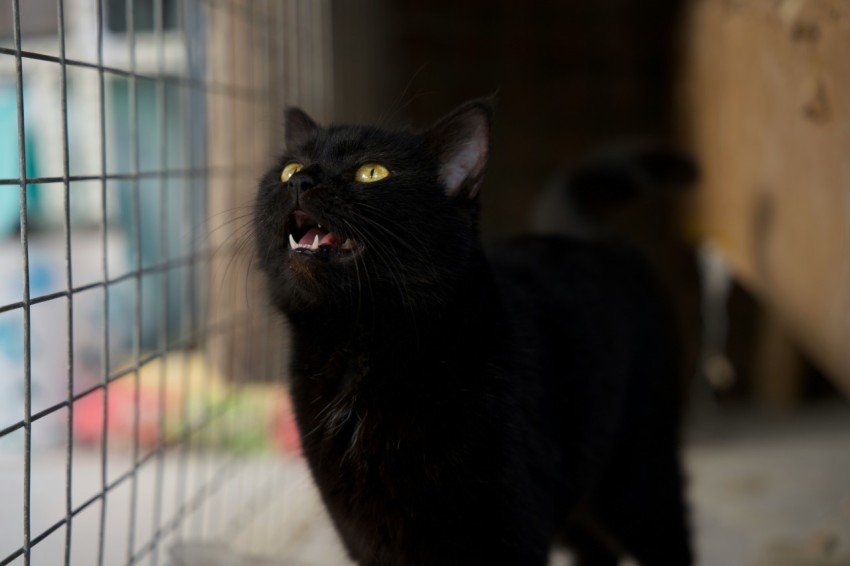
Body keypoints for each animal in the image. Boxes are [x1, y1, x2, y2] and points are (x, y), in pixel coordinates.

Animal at [252, 100, 688, 564]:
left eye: (372, 172)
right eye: (290, 167)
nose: (301, 181)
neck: (358, 350)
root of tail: (596, 238)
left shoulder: (508, 533)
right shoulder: (369, 539)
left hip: (640, 482)